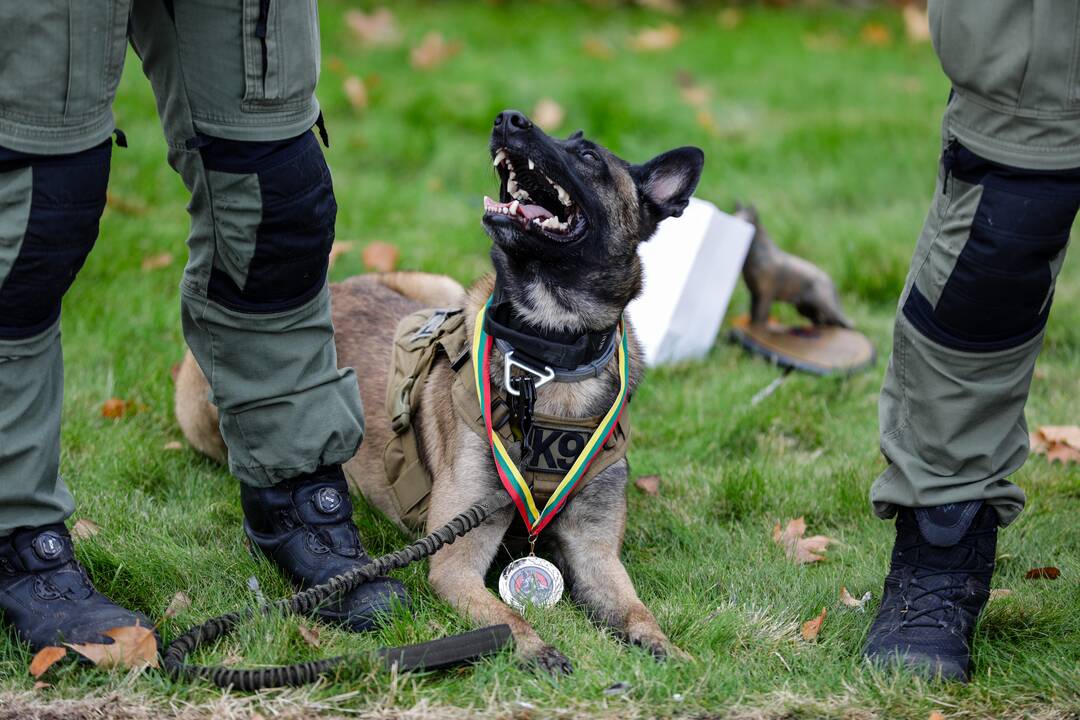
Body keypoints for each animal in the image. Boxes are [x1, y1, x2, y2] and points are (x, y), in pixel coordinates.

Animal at [173, 110, 704, 673]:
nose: (508, 119)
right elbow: (505, 619)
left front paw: (671, 651)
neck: (549, 359)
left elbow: (637, 612)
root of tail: (331, 288)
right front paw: (536, 649)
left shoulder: (595, 553)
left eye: (588, 156)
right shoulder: (455, 561)